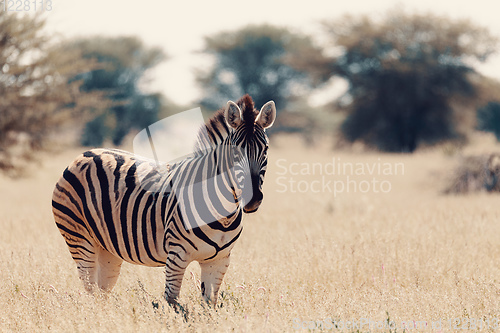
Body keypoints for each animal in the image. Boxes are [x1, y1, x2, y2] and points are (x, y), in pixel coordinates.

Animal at [51, 94, 278, 304]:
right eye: (234, 153)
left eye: (265, 149)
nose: (252, 199)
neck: (223, 216)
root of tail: (86, 153)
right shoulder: (177, 255)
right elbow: (172, 301)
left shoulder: (219, 261)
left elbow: (209, 305)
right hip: (80, 239)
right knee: (90, 288)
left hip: (107, 249)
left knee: (101, 293)